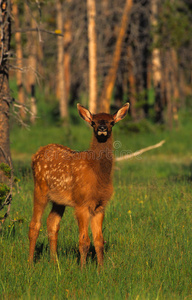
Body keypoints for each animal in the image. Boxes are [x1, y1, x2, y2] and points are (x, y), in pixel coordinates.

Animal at [28, 102, 130, 264]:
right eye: (93, 122)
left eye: (111, 122)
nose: (102, 128)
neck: (98, 176)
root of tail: (37, 153)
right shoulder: (81, 203)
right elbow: (84, 241)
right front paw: (83, 268)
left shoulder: (100, 206)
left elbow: (99, 241)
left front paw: (101, 268)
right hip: (39, 189)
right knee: (34, 225)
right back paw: (30, 263)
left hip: (58, 200)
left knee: (52, 223)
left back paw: (54, 262)